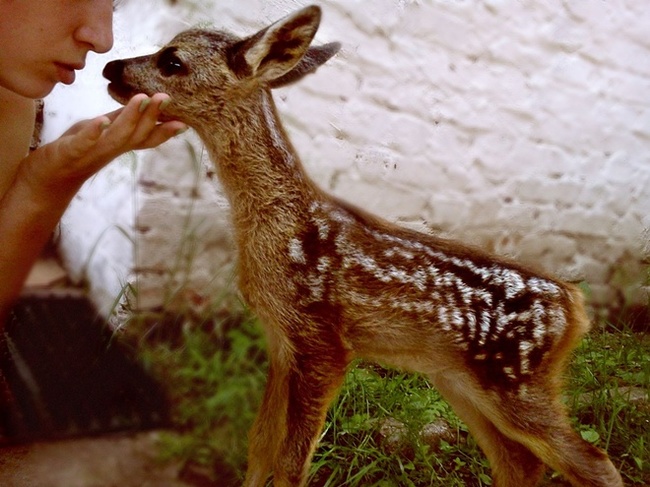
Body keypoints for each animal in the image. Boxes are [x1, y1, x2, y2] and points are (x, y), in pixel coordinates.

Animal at [102, 4, 624, 487]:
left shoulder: (322, 340)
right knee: (521, 463)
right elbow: (260, 446)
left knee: (594, 464)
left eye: (172, 60)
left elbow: (291, 464)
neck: (282, 224)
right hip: (460, 381)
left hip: (515, 382)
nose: (110, 69)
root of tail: (575, 307)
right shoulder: (280, 340)